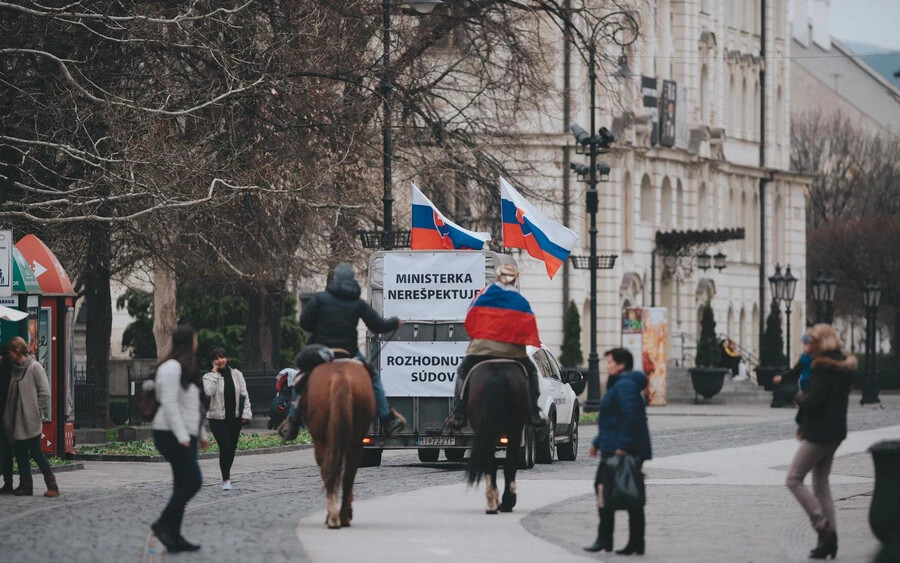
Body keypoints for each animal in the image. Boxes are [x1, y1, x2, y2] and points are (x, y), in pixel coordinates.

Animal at [300, 356, 374, 528]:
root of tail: (341, 377)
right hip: (354, 440)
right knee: (348, 474)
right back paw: (341, 515)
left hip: (324, 441)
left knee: (330, 471)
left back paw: (335, 516)